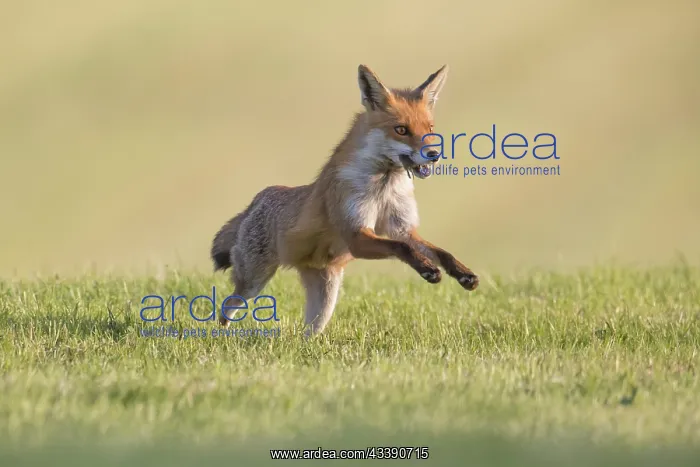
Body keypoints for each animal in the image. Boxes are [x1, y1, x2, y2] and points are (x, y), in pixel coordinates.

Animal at [211, 64, 479, 336]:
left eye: (430, 129)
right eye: (401, 130)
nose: (434, 154)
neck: (383, 187)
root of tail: (259, 197)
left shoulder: (402, 228)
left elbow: (440, 252)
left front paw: (463, 273)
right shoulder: (356, 235)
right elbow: (401, 248)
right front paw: (427, 269)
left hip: (325, 301)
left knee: (308, 331)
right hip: (253, 281)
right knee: (226, 307)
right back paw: (222, 335)